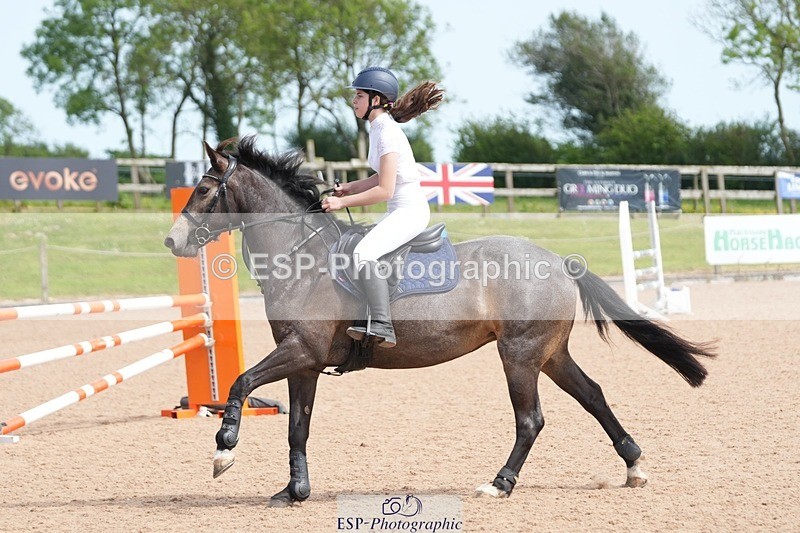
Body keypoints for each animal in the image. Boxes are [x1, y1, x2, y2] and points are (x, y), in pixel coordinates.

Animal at [164, 136, 716, 506]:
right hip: (550, 353)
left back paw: (499, 483)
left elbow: (240, 382)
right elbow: (297, 427)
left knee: (531, 419)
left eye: (206, 189)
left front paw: (224, 449)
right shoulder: (304, 362)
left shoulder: (300, 351)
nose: (172, 241)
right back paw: (634, 465)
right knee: (594, 396)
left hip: (519, 354)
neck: (301, 259)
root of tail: (560, 261)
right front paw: (294, 490)